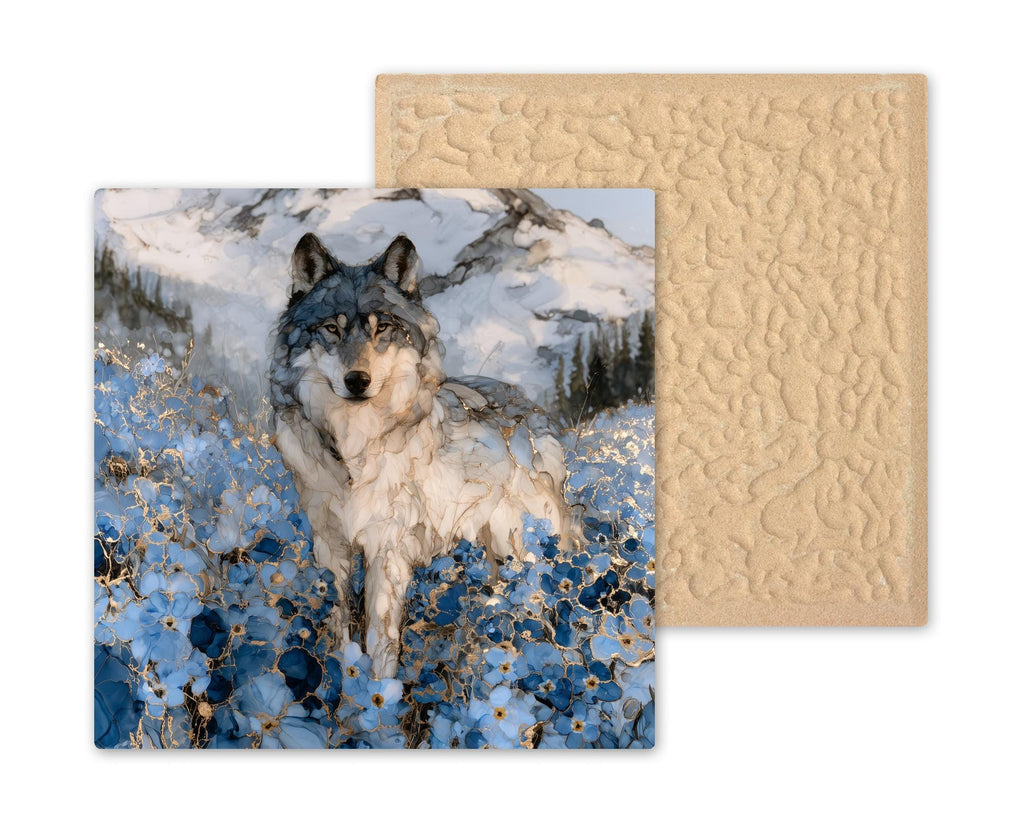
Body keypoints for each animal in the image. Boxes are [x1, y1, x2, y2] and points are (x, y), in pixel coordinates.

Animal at [269, 233, 573, 677]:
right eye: (331, 329)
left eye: (382, 329)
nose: (357, 380)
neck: (354, 452)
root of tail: (529, 404)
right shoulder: (331, 547)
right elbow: (341, 633)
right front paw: (345, 686)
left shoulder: (387, 550)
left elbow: (380, 642)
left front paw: (379, 692)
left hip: (520, 553)